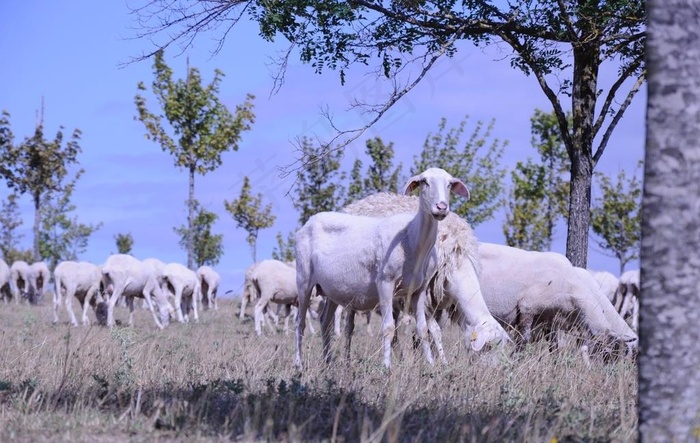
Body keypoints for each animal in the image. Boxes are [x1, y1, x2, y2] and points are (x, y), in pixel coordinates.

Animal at [292, 168, 468, 370]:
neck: (413, 239)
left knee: (325, 321)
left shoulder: (420, 288)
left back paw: (328, 362)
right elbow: (388, 327)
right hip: (303, 279)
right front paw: (386, 366)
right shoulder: (385, 282)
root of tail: (309, 222)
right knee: (299, 323)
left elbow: (423, 328)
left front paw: (431, 364)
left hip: (331, 289)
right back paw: (298, 364)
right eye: (424, 182)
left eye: (450, 184)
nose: (441, 207)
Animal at [342, 193, 512, 362]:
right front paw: (442, 362)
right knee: (349, 326)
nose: (492, 368)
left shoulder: (440, 303)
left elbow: (435, 330)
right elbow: (435, 331)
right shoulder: (426, 299)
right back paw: (347, 358)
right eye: (488, 347)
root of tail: (360, 202)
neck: (457, 263)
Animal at [478, 243, 636, 358]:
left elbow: (554, 346)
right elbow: (523, 341)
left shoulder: (550, 319)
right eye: (609, 352)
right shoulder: (527, 308)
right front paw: (516, 359)